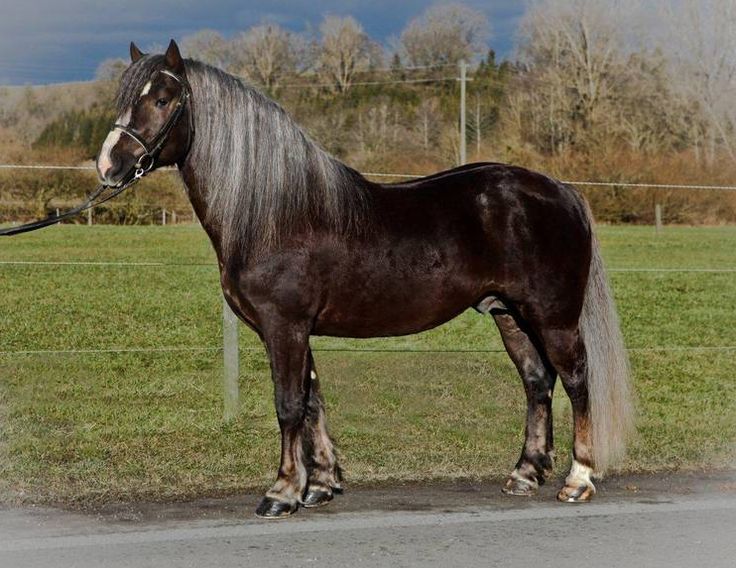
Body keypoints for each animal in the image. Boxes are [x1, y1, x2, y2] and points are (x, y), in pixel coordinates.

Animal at [96, 40, 634, 519]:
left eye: (163, 99)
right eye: (126, 96)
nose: (109, 165)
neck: (276, 213)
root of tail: (561, 190)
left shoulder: (284, 326)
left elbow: (288, 404)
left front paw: (282, 493)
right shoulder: (297, 329)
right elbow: (313, 401)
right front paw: (320, 486)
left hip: (552, 316)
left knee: (576, 379)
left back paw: (577, 479)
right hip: (509, 314)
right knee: (537, 381)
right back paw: (523, 474)